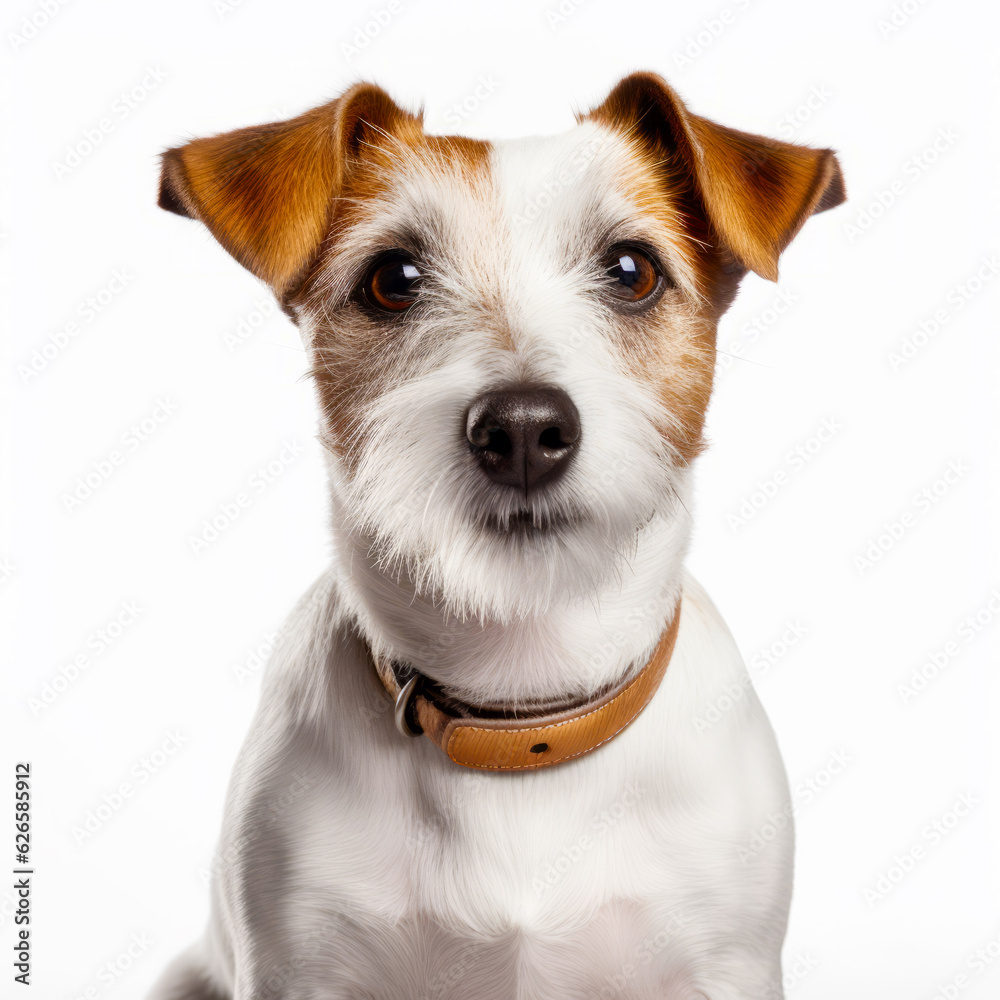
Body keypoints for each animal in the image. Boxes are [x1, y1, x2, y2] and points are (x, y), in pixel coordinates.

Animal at [148, 72, 844, 1000]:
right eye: (393, 278)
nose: (520, 428)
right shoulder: (299, 966)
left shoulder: (726, 965)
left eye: (632, 270)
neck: (521, 703)